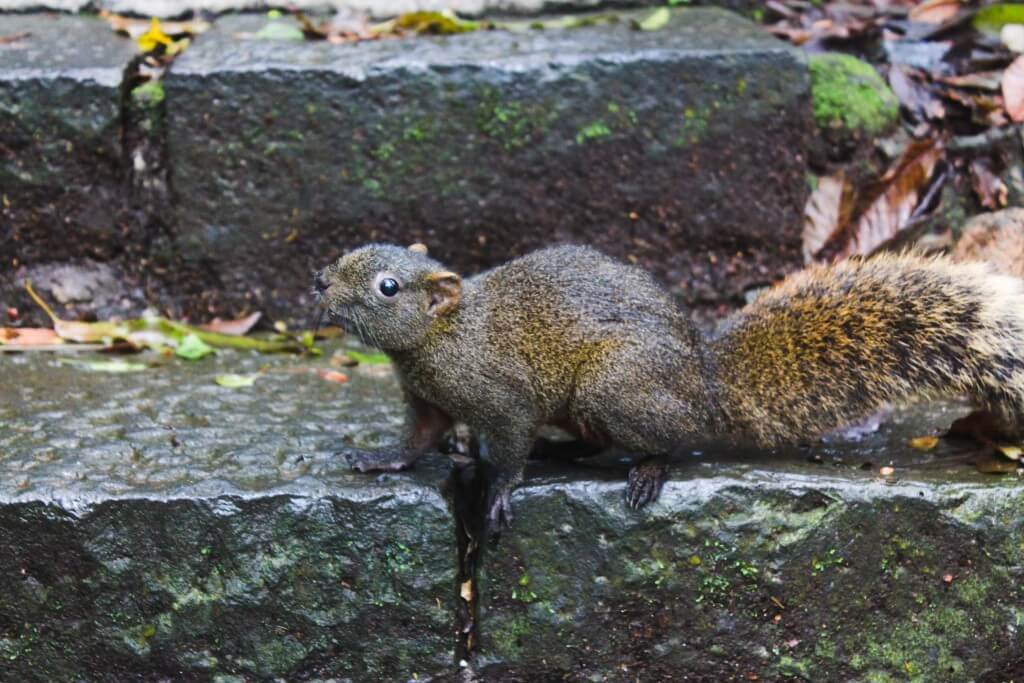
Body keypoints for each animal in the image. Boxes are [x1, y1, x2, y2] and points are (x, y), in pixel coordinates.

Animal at [311, 242, 1024, 536]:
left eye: (388, 287)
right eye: (348, 253)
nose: (317, 282)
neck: (440, 338)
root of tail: (705, 383)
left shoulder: (501, 396)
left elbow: (508, 444)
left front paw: (499, 493)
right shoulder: (426, 400)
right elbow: (417, 438)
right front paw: (379, 458)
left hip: (611, 387)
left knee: (676, 438)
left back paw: (648, 468)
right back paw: (564, 452)